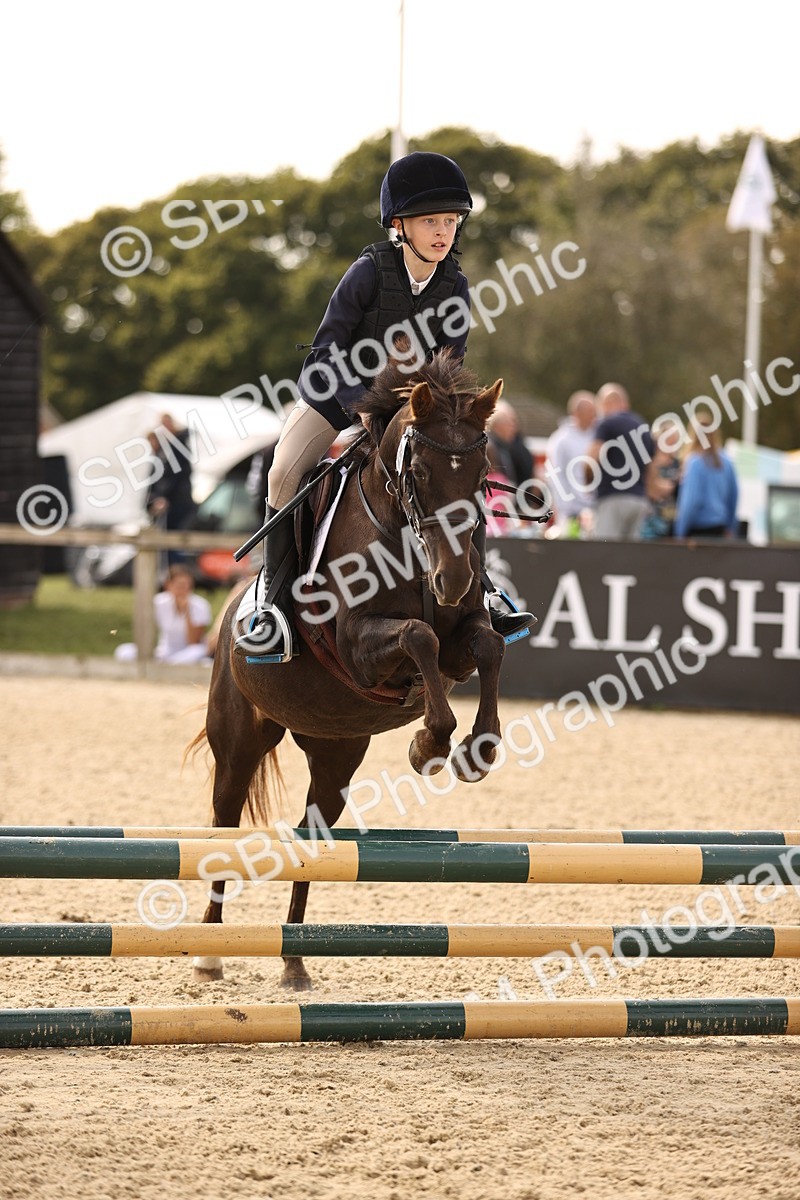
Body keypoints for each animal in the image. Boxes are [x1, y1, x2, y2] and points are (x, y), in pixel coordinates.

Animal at [189, 349, 507, 989]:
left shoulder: (462, 641)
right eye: (421, 474)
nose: (454, 578)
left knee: (312, 836)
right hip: (238, 740)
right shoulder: (360, 650)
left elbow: (485, 645)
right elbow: (418, 636)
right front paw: (430, 744)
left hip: (335, 753)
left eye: (482, 471)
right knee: (224, 819)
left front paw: (477, 749)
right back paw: (210, 952)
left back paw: (293, 961)